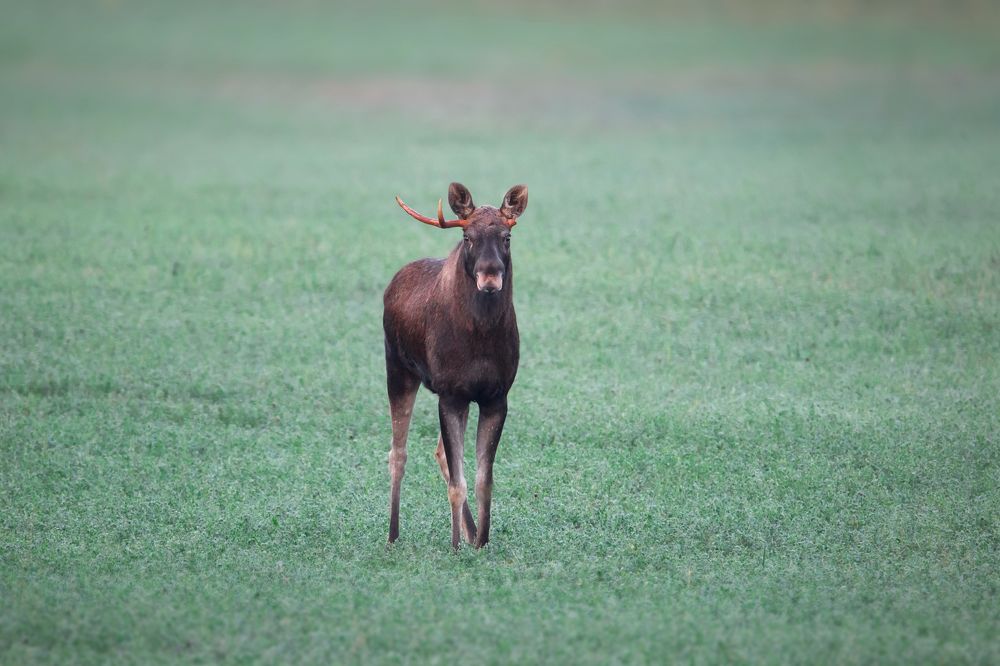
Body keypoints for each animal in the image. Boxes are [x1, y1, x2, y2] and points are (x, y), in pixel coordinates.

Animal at [383, 182, 528, 550]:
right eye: (468, 237)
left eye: (507, 236)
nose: (490, 277)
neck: (481, 338)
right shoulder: (450, 394)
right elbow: (457, 481)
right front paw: (455, 547)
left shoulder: (496, 397)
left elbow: (482, 479)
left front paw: (481, 541)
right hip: (398, 368)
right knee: (398, 453)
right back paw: (392, 534)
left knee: (438, 453)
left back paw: (470, 531)